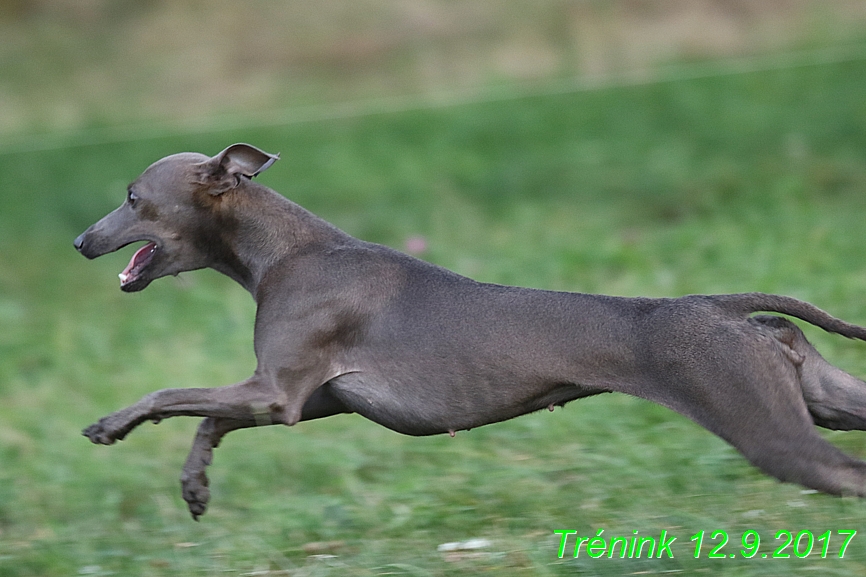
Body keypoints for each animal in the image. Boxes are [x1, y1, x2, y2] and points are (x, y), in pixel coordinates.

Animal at [72, 141, 864, 516]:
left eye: (133, 198)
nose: (80, 241)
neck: (287, 252)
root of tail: (722, 307)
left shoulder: (277, 392)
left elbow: (171, 394)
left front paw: (111, 423)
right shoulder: (311, 399)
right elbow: (209, 419)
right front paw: (194, 486)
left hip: (768, 428)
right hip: (824, 398)